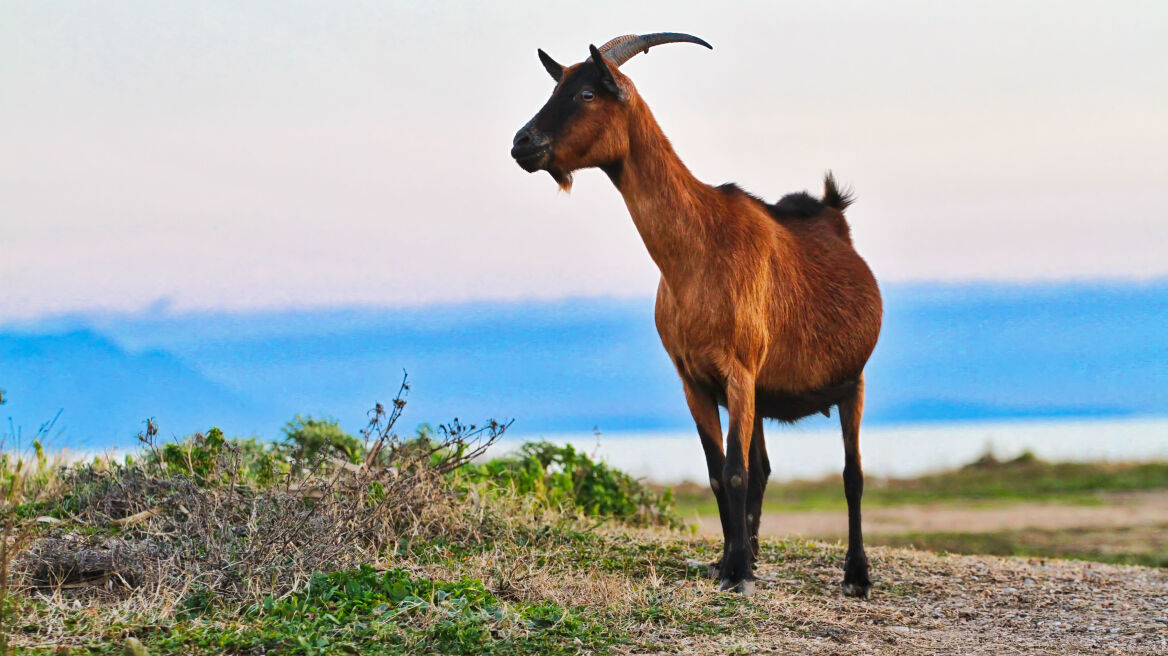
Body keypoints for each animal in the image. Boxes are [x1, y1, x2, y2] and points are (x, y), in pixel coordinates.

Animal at [506, 33, 878, 595]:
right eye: (557, 87)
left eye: (588, 93)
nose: (522, 143)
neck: (698, 249)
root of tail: (834, 215)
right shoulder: (695, 380)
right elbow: (719, 472)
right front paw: (728, 563)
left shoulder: (738, 370)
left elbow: (736, 472)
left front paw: (740, 574)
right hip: (765, 392)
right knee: (764, 467)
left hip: (851, 380)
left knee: (851, 474)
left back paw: (856, 574)